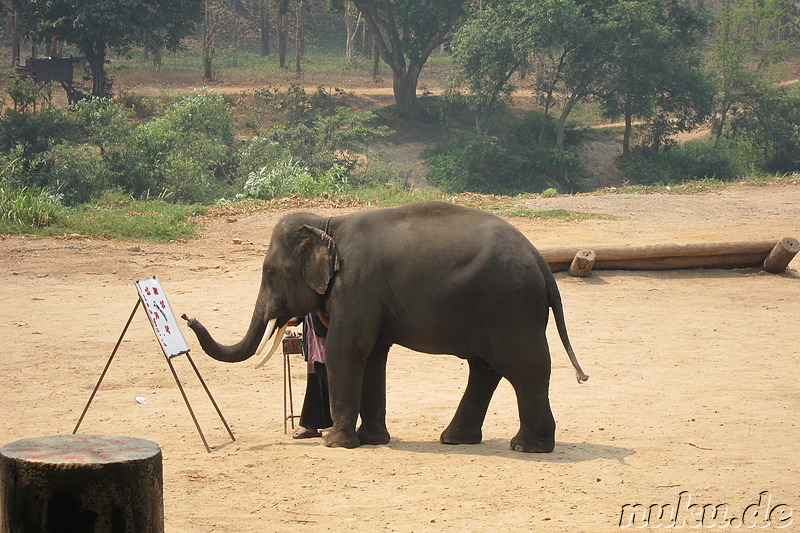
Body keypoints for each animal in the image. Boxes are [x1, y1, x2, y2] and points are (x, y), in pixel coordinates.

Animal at [186, 202, 588, 450]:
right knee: (485, 368)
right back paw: (454, 439)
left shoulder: (357, 285)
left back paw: (527, 446)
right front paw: (372, 440)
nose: (188, 318)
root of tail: (540, 261)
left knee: (523, 366)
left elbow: (347, 349)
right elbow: (374, 355)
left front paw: (335, 443)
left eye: (270, 273)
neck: (329, 224)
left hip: (511, 305)